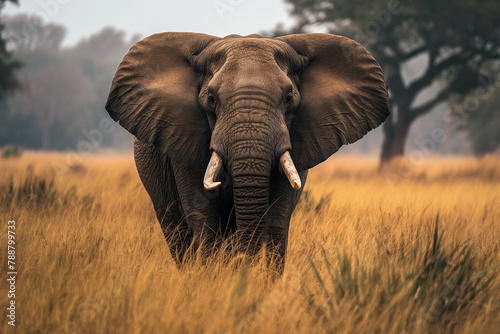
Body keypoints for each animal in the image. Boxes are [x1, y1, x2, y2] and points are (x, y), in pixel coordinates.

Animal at [103, 32, 388, 272]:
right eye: (211, 99)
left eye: (288, 99)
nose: (244, 264)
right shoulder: (182, 136)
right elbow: (205, 220)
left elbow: (275, 220)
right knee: (176, 231)